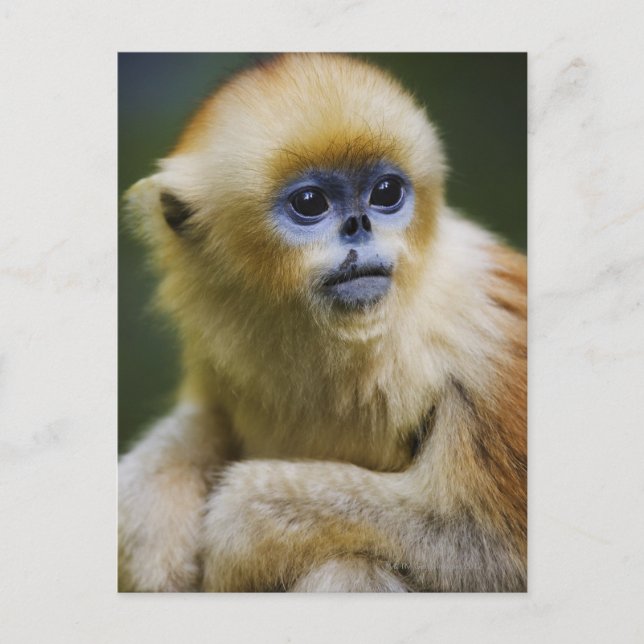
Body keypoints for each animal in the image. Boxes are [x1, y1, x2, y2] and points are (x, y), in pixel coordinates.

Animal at [119, 53, 527, 593]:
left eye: (386, 193)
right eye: (310, 203)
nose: (360, 224)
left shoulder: (480, 334)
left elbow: (489, 547)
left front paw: (240, 526)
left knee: (351, 565)